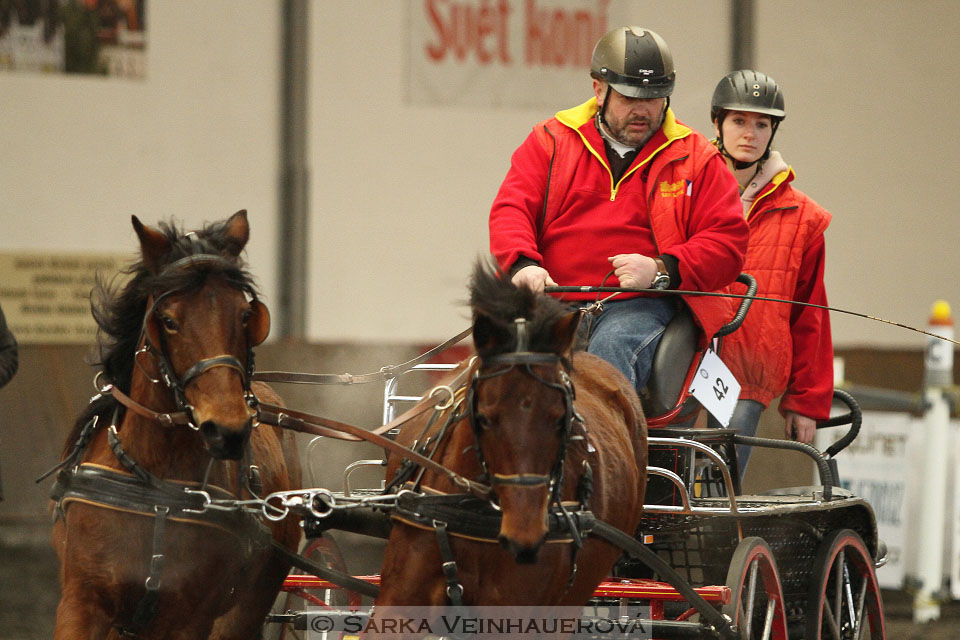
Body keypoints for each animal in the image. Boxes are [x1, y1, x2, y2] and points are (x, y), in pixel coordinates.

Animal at [48, 212, 302, 636]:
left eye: (245, 315)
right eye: (167, 321)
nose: (228, 430)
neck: (156, 485)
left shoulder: (190, 619)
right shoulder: (81, 604)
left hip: (245, 608)